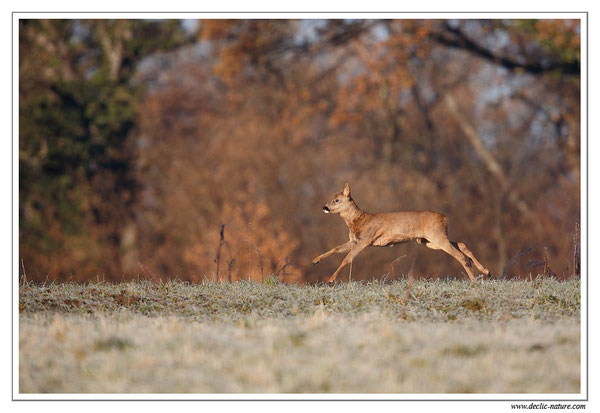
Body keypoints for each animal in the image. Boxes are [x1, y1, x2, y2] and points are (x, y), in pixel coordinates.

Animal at [312, 183, 490, 284]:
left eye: (337, 200)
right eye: (330, 199)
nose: (324, 207)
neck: (357, 221)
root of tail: (443, 216)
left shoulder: (365, 240)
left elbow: (347, 259)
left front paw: (330, 280)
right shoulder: (354, 241)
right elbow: (335, 248)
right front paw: (314, 261)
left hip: (436, 237)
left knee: (459, 255)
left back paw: (474, 281)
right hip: (430, 240)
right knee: (462, 244)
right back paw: (485, 271)